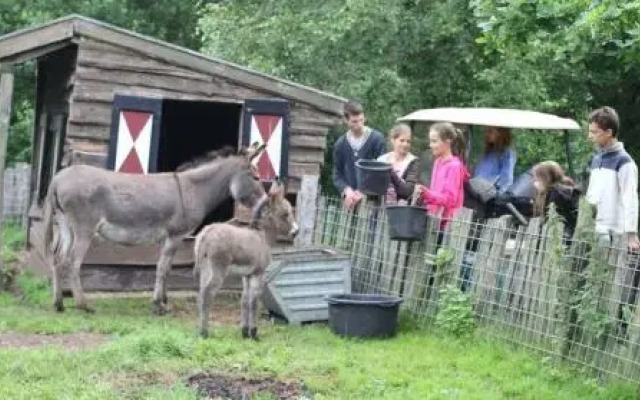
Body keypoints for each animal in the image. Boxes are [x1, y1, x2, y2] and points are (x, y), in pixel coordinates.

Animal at [194, 180, 298, 340]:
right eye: (286, 214)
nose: (296, 232)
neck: (262, 236)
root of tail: (206, 234)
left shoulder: (246, 275)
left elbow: (244, 300)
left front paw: (244, 332)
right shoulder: (258, 273)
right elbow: (254, 301)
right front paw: (254, 333)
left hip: (205, 269)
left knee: (201, 294)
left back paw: (201, 330)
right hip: (218, 269)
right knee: (207, 294)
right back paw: (204, 332)